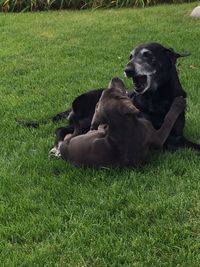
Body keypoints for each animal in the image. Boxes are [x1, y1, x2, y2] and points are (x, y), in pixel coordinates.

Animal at [54, 43, 199, 153]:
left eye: (147, 54)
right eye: (131, 56)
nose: (127, 70)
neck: (158, 99)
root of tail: (72, 106)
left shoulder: (177, 133)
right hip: (89, 119)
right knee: (61, 129)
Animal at [57, 77, 185, 168]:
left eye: (108, 90)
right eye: (116, 90)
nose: (115, 78)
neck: (121, 122)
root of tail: (64, 147)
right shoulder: (156, 136)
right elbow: (168, 120)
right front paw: (178, 103)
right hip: (93, 133)